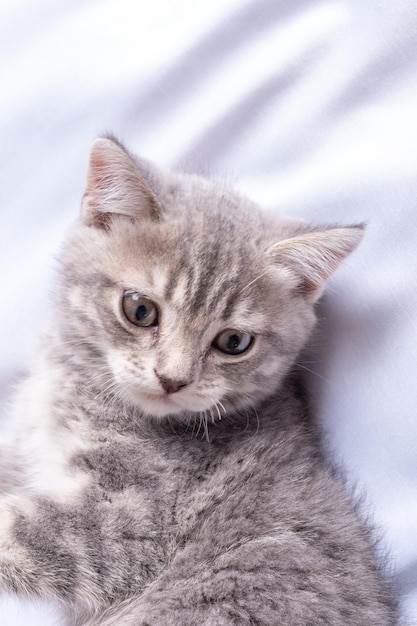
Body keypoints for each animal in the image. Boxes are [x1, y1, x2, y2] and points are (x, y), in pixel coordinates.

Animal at [0, 138, 396, 624]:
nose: (172, 379)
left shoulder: (123, 524)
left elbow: (21, 530)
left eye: (234, 342)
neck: (74, 379)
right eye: (139, 310)